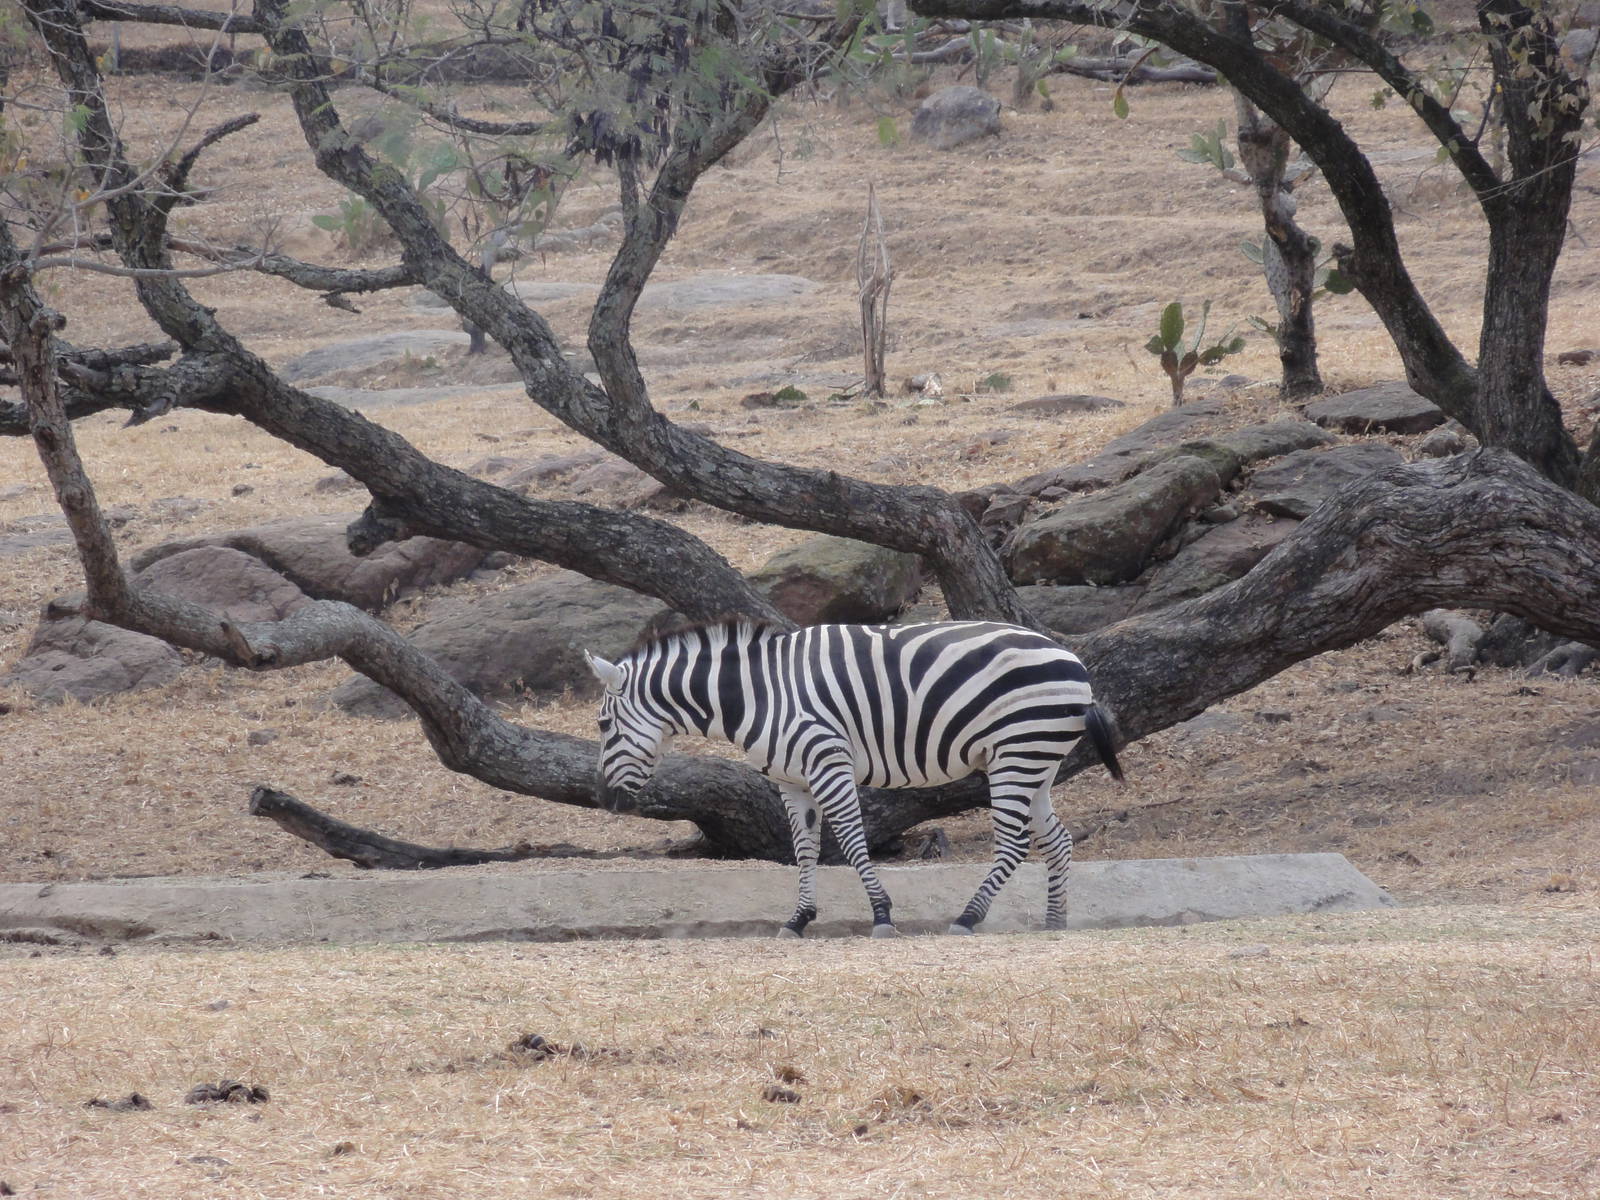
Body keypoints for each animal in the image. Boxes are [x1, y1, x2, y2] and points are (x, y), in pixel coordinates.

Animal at [584, 619, 1123, 938]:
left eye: (603, 725)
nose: (607, 800)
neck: (757, 694)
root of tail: (1071, 658)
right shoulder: (792, 780)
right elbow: (804, 849)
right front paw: (798, 919)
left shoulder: (828, 761)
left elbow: (849, 839)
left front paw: (882, 915)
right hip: (1034, 758)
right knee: (1057, 841)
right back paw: (1055, 922)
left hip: (1018, 752)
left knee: (1014, 844)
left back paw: (968, 918)